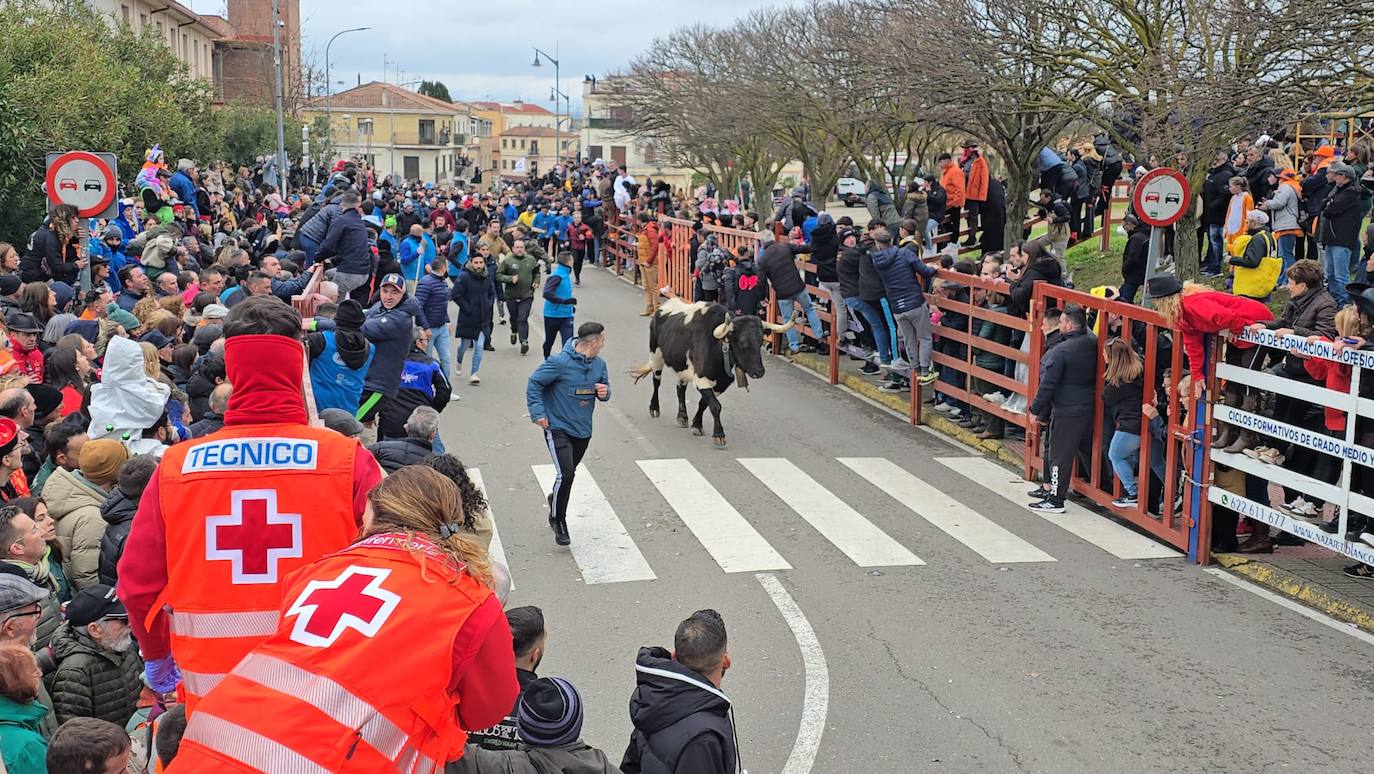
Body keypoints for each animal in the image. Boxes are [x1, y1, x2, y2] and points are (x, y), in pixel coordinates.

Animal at [626, 299, 791, 450]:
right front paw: (719, 435)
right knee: (656, 381)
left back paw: (682, 416)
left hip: (682, 366)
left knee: (680, 389)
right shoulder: (701, 378)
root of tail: (664, 306)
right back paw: (654, 407)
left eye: (760, 341)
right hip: (656, 354)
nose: (759, 372)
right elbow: (715, 406)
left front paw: (696, 424)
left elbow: (704, 403)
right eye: (742, 342)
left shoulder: (721, 383)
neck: (719, 348)